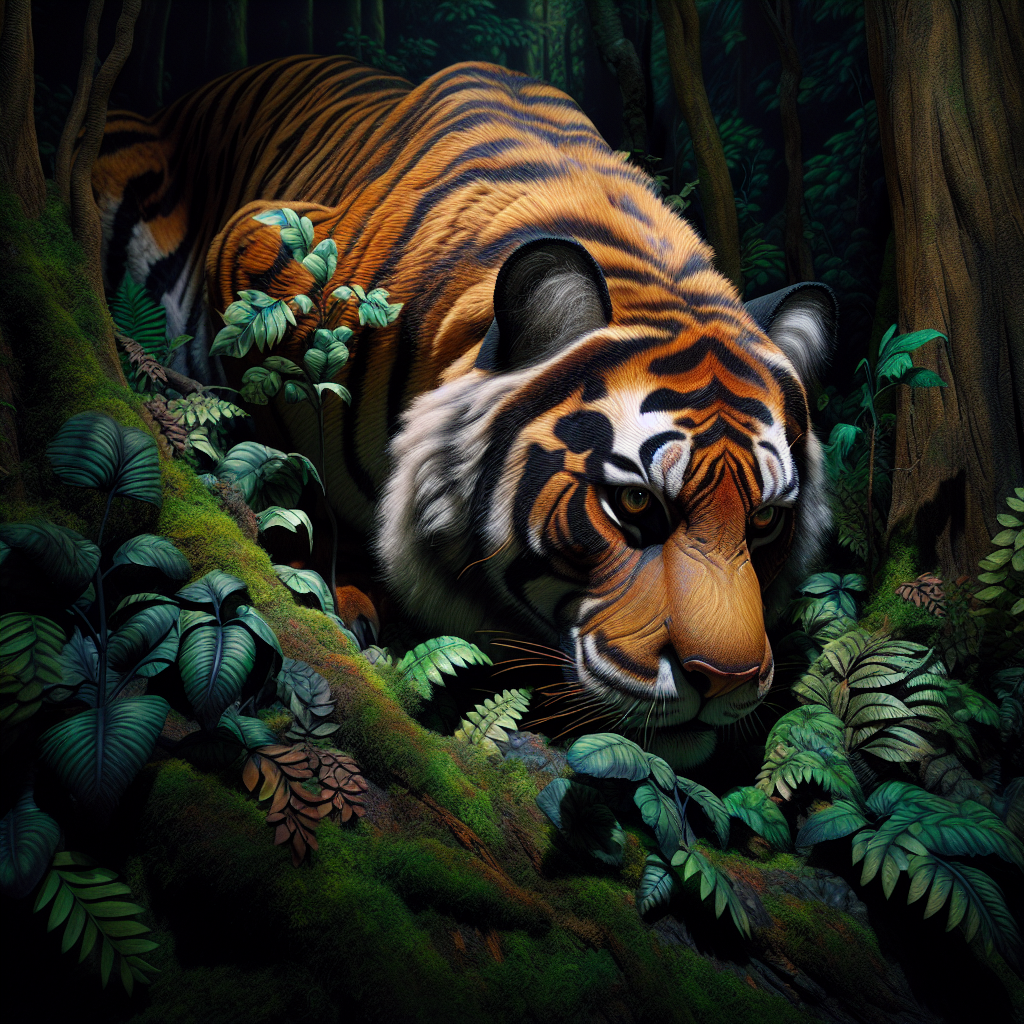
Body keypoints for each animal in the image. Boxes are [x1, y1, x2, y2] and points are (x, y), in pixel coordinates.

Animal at [94, 55, 836, 767]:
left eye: (764, 520)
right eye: (635, 505)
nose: (727, 681)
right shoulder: (254, 254)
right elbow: (301, 484)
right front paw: (345, 597)